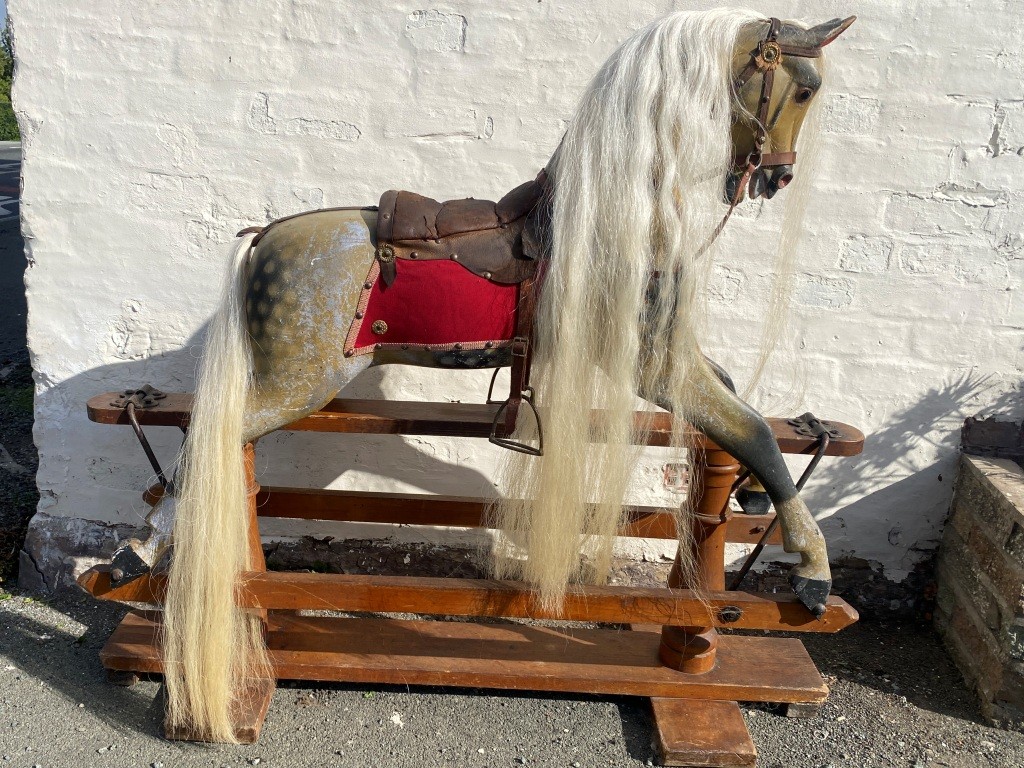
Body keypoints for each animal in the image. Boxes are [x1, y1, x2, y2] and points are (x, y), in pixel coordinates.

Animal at [111, 8, 854, 741]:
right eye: (806, 87)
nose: (778, 177)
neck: (617, 214)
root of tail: (265, 237)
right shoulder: (655, 364)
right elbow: (753, 429)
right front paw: (813, 570)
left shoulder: (668, 354)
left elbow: (736, 394)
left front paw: (753, 495)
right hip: (297, 382)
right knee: (204, 443)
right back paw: (136, 554)